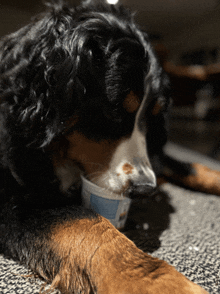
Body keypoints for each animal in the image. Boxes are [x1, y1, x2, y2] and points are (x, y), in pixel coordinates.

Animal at [0, 0, 213, 292]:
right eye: (113, 111)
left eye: (153, 117)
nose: (145, 189)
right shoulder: (15, 199)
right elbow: (86, 223)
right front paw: (163, 284)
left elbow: (189, 166)